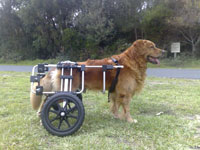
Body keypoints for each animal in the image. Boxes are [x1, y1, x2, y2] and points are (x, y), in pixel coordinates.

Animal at [30, 39, 164, 123]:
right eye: (152, 46)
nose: (164, 51)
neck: (133, 60)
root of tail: (61, 65)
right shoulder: (125, 93)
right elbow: (126, 109)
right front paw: (130, 120)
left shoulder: (116, 92)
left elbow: (115, 105)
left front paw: (117, 116)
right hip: (66, 92)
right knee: (48, 101)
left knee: (47, 99)